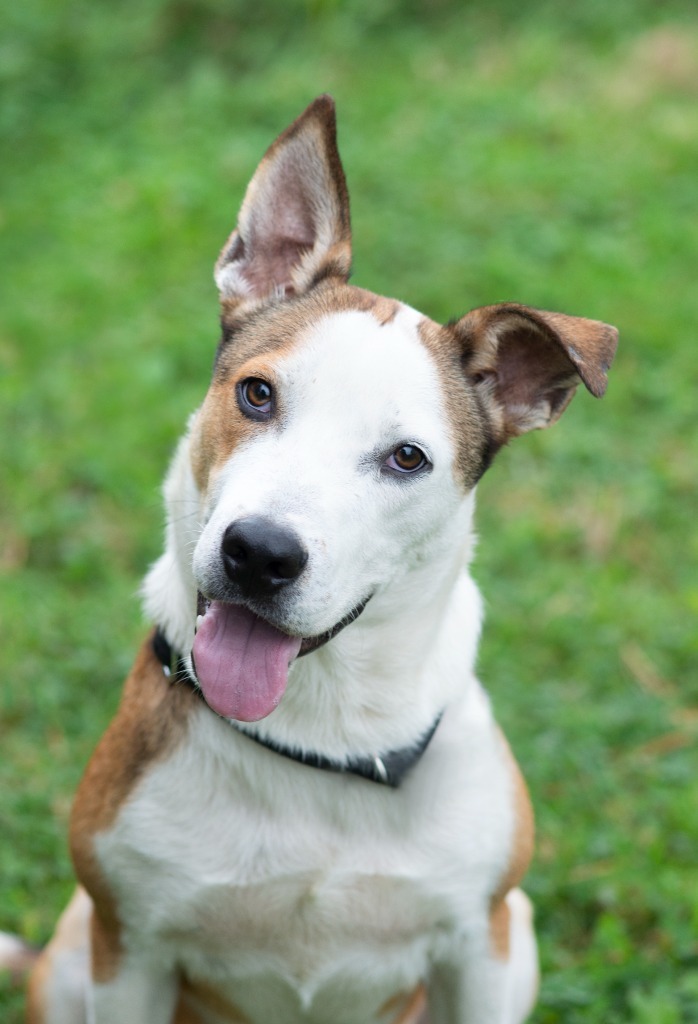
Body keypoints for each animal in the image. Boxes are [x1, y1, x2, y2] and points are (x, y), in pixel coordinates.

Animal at [16, 97, 614, 1024]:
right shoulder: (130, 950)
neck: (319, 725)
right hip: (77, 950)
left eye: (407, 458)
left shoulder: (480, 947)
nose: (259, 553)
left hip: (519, 936)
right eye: (257, 394)